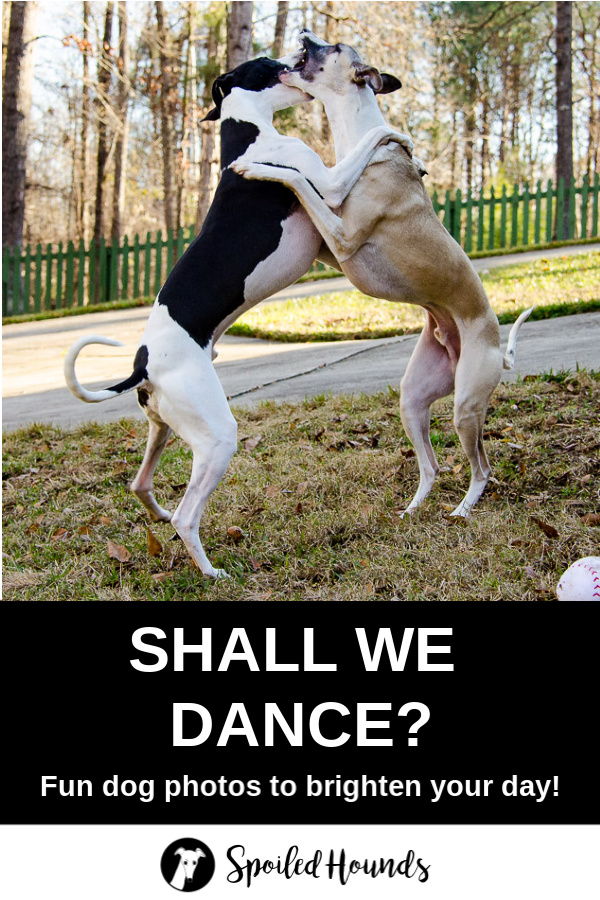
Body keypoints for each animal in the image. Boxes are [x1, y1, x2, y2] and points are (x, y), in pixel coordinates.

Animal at [67, 51, 412, 576]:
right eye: (269, 64)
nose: (296, 57)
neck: (249, 136)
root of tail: (143, 364)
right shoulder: (330, 185)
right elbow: (371, 140)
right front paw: (402, 139)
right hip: (217, 440)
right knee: (187, 516)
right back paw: (210, 570)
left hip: (163, 429)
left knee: (140, 484)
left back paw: (160, 517)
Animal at [234, 31, 536, 516]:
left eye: (334, 47)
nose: (305, 33)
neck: (359, 144)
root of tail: (494, 349)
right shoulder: (332, 248)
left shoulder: (341, 237)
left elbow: (298, 181)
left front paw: (255, 166)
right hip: (413, 398)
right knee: (432, 465)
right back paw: (412, 511)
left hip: (466, 406)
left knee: (482, 467)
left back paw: (462, 510)